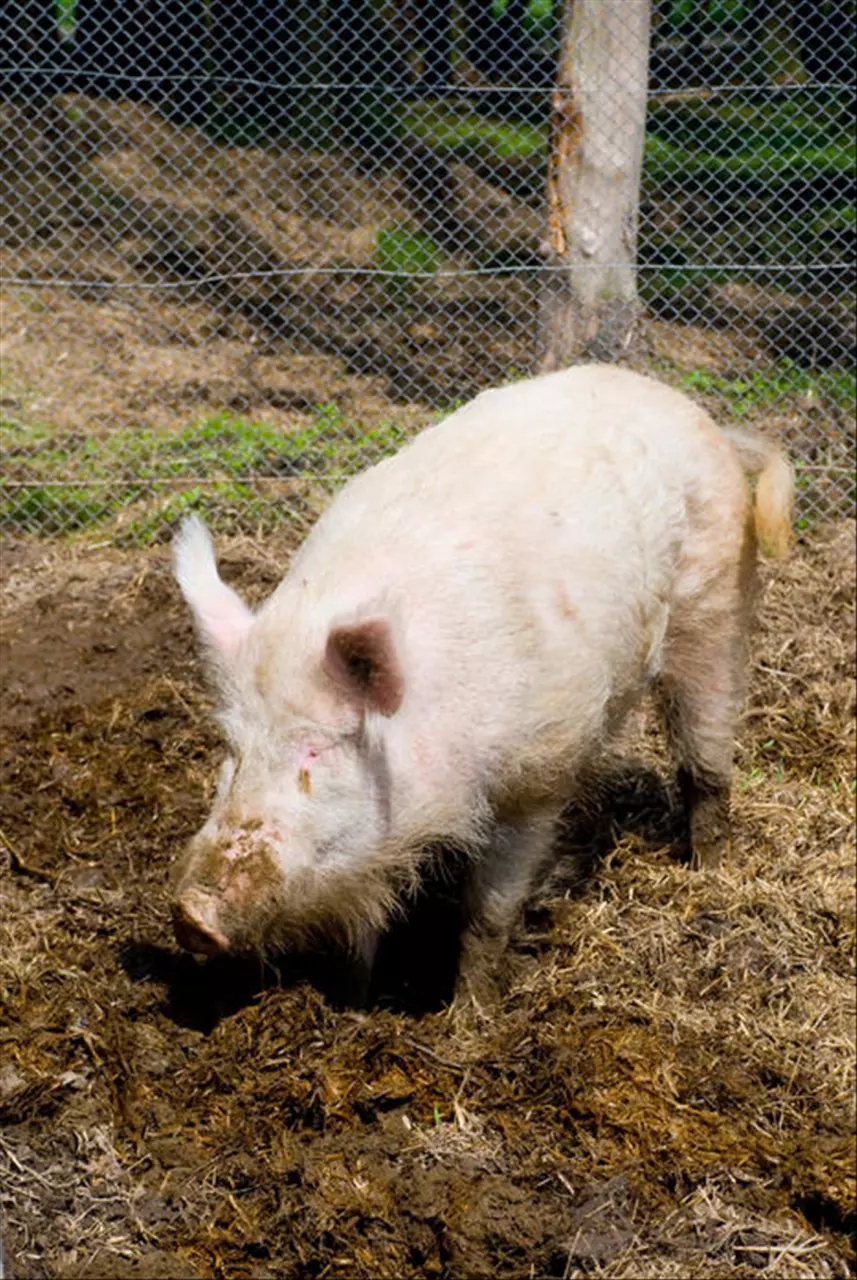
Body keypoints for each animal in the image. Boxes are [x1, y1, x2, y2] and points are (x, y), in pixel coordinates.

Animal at [171, 363, 798, 1008]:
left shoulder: (537, 775)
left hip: (713, 603)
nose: (190, 915)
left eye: (316, 750)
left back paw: (708, 869)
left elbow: (488, 914)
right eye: (234, 750)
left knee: (706, 746)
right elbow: (362, 930)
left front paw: (471, 1015)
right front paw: (354, 1004)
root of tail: (700, 417)